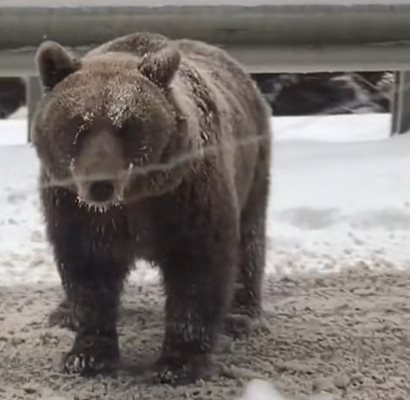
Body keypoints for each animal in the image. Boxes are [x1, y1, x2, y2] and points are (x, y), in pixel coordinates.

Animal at [30, 31, 270, 384]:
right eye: (78, 125)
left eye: (127, 125)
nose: (100, 184)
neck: (132, 199)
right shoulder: (75, 209)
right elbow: (87, 273)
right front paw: (87, 355)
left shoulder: (186, 199)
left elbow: (198, 271)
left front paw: (176, 364)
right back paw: (63, 313)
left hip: (252, 169)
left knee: (249, 241)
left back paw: (240, 315)